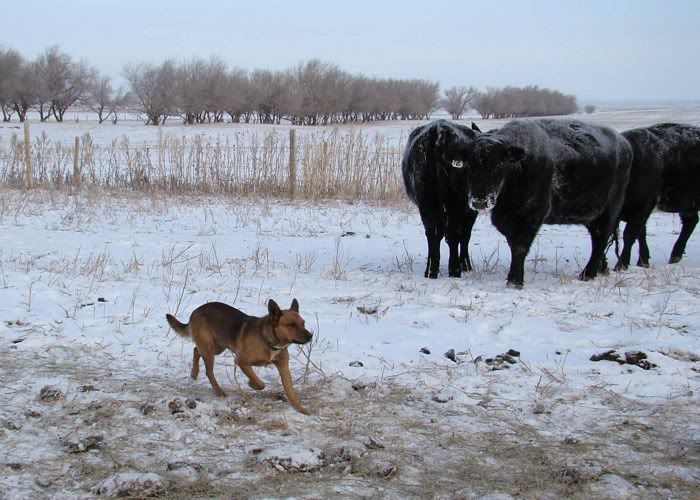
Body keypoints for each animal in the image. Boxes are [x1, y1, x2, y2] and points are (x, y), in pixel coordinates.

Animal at [401, 120, 479, 279]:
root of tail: (440, 131)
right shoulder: (470, 211)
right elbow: (465, 236)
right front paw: (466, 265)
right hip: (456, 201)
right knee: (453, 234)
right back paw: (454, 270)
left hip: (427, 199)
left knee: (434, 233)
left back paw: (431, 270)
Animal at [457, 119, 632, 288]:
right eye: (470, 164)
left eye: (499, 165)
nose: (480, 201)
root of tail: (623, 143)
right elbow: (512, 242)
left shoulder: (532, 214)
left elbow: (519, 246)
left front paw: (515, 280)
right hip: (591, 215)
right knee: (598, 240)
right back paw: (602, 269)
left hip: (608, 211)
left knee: (600, 238)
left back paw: (587, 274)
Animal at [614, 123, 700, 270]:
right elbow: (641, 234)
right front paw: (643, 261)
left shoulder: (642, 207)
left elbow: (630, 234)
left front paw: (621, 264)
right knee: (690, 222)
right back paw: (675, 256)